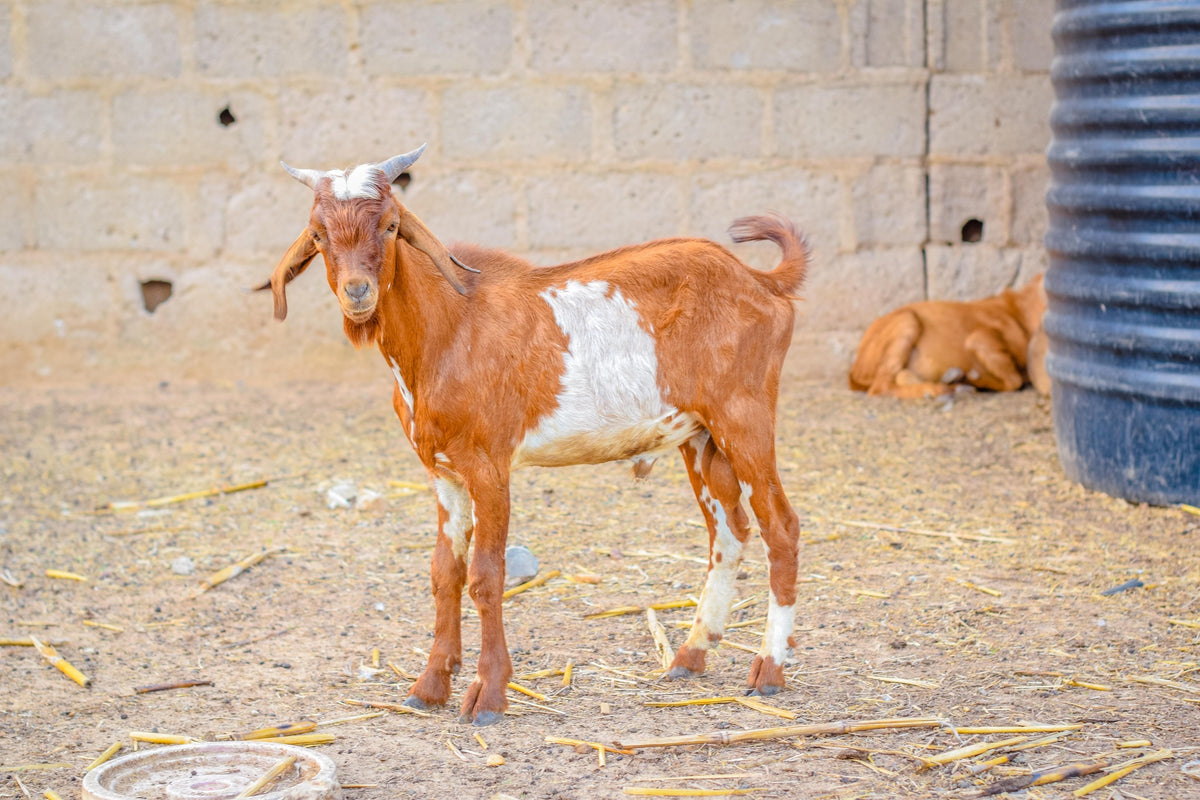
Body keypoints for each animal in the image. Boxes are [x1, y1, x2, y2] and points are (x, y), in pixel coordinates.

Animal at [259, 144, 808, 725]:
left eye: (389, 226)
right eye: (318, 234)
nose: (357, 292)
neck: (449, 328)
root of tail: (762, 282)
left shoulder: (489, 466)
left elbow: (485, 575)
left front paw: (488, 694)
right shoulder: (442, 473)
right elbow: (444, 571)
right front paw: (430, 684)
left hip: (744, 418)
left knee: (781, 528)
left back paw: (769, 670)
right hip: (700, 437)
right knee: (730, 533)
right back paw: (690, 654)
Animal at [848, 275, 1049, 399]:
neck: (1021, 315)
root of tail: (855, 369)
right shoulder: (980, 338)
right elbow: (1013, 379)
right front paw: (972, 380)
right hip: (906, 320)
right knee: (880, 387)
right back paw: (940, 388)